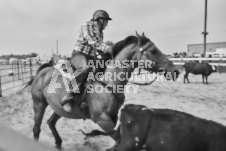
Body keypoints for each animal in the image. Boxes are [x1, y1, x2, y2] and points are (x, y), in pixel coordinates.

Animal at [28, 31, 180, 147]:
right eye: (153, 50)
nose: (176, 70)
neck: (108, 82)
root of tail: (43, 71)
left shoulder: (113, 117)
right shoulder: (102, 120)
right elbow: (119, 140)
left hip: (59, 108)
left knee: (51, 122)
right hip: (38, 104)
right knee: (36, 129)